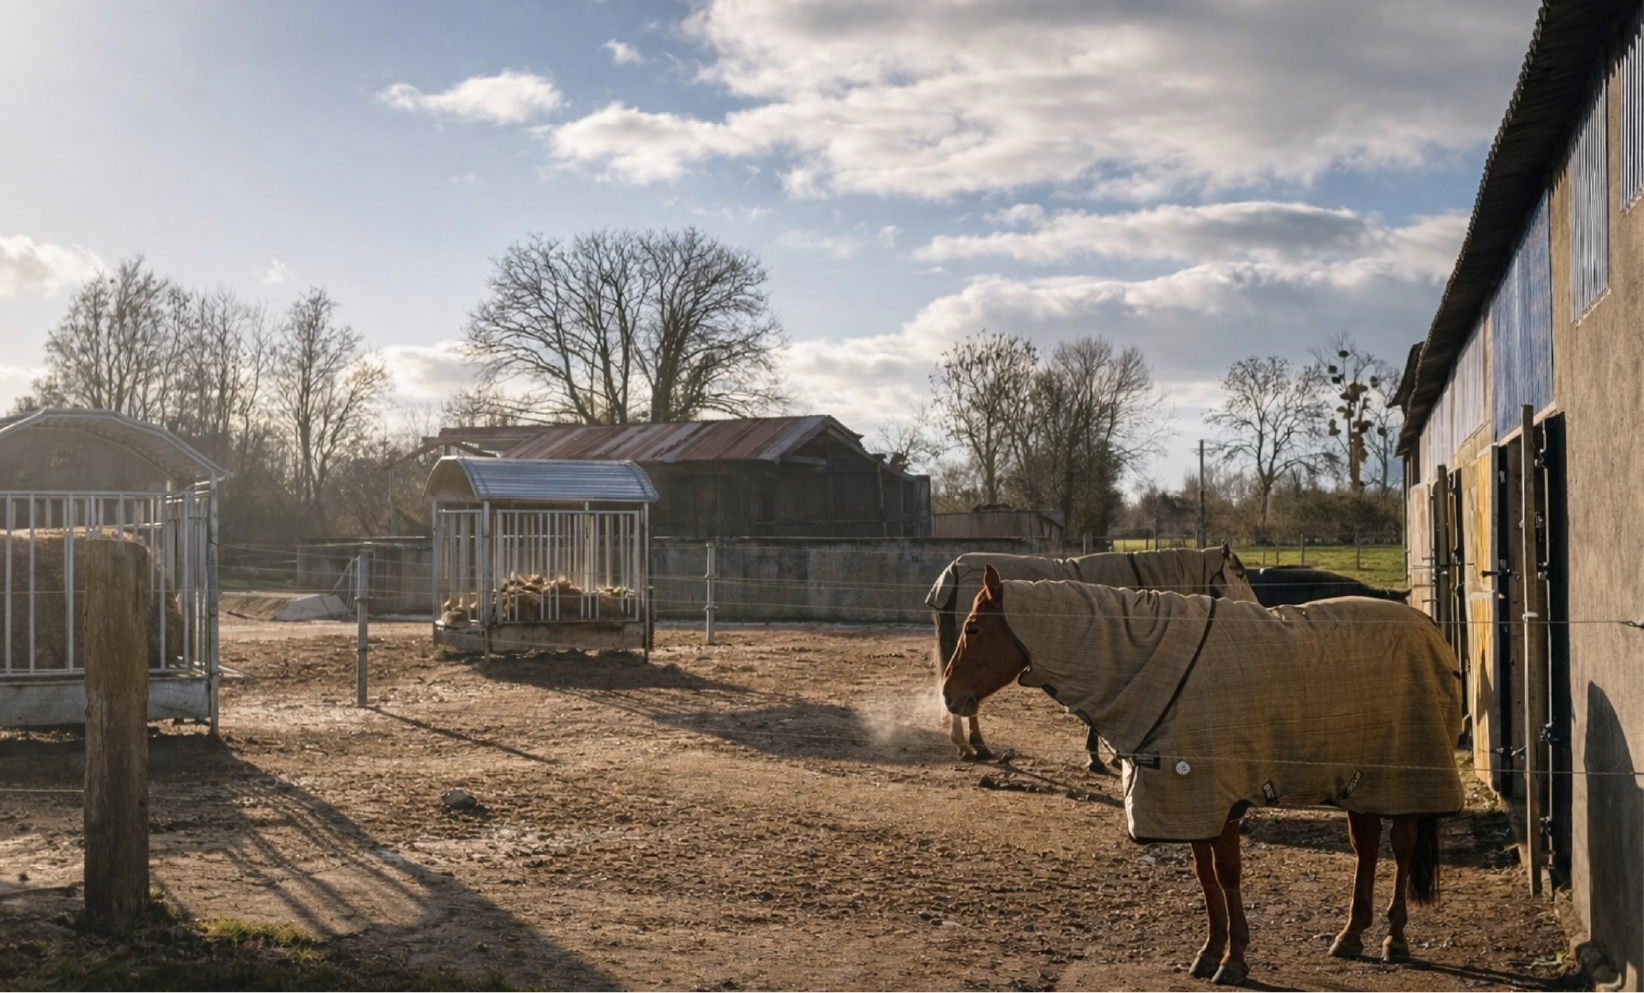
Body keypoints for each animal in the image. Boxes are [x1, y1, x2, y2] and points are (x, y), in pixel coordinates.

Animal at [926, 545, 1259, 768]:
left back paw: (971, 746)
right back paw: (975, 746)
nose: (1257, 607)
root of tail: (953, 571)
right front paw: (1100, 758)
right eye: (1240, 573)